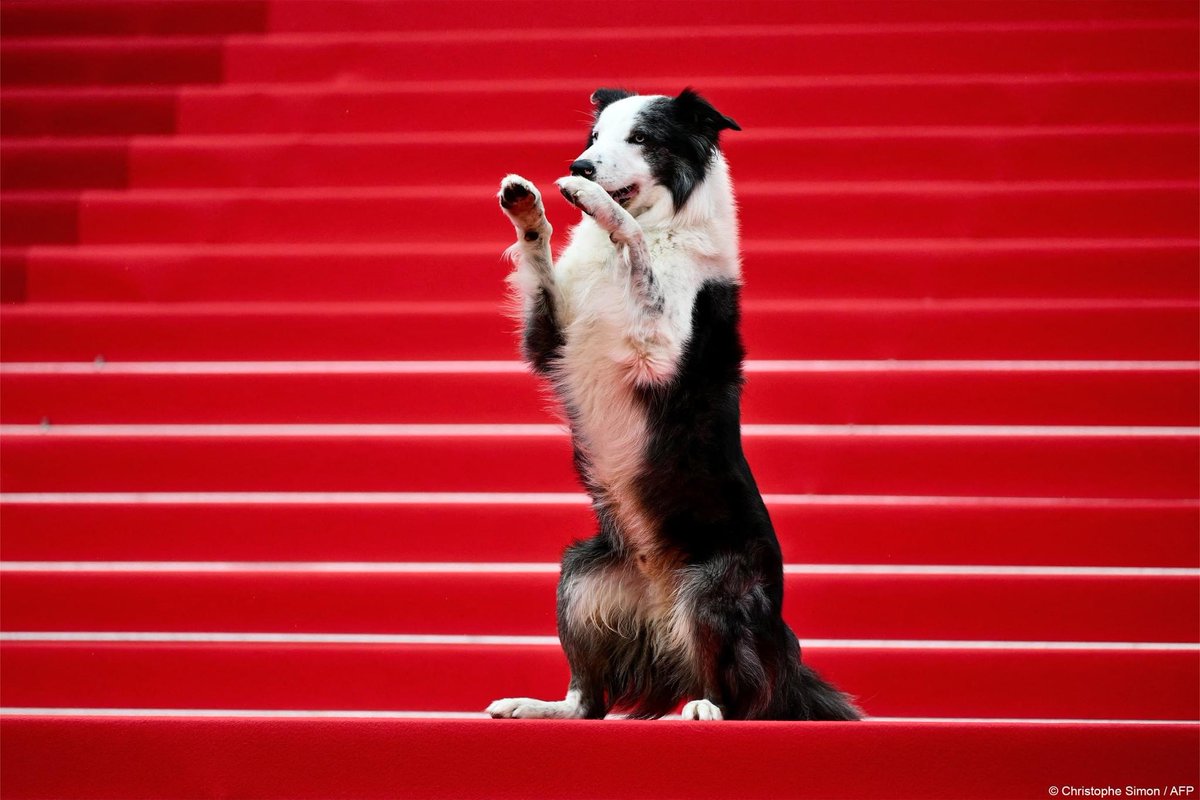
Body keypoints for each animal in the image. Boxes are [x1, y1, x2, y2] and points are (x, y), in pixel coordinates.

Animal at [487, 89, 864, 724]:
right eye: (595, 136)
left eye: (641, 138)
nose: (581, 166)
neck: (666, 221)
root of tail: (661, 599)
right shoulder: (551, 336)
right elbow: (541, 267)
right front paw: (528, 207)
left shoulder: (658, 349)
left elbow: (634, 241)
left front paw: (596, 205)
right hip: (579, 574)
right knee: (590, 700)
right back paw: (538, 706)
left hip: (713, 588)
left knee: (747, 697)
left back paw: (708, 707)